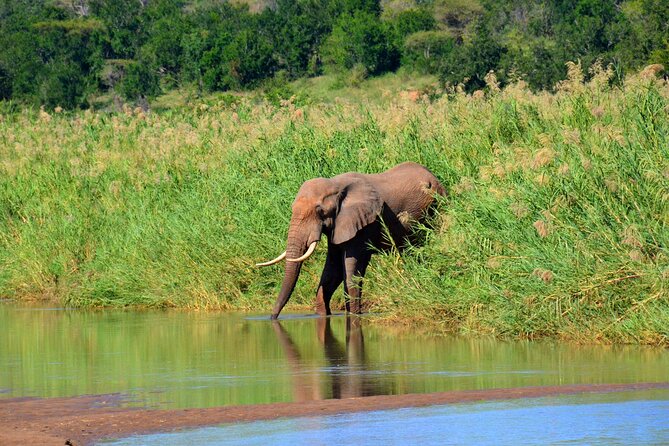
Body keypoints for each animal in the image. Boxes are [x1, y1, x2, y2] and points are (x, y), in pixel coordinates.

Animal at [258, 162, 444, 318]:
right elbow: (332, 270)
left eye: (319, 211)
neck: (336, 184)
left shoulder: (361, 224)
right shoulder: (337, 226)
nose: (272, 318)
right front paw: (323, 315)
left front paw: (354, 315)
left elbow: (350, 268)